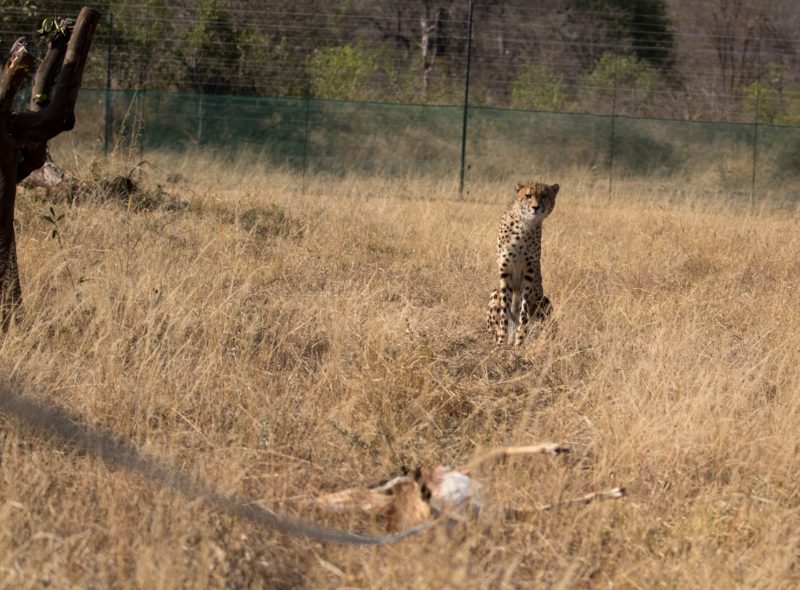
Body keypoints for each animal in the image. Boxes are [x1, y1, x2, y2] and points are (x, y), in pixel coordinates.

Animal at [487, 181, 559, 346]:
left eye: (544, 196)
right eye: (528, 195)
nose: (536, 207)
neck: (524, 224)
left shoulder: (529, 273)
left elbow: (523, 311)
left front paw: (519, 341)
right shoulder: (505, 271)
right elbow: (505, 311)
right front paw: (501, 341)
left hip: (544, 300)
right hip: (495, 292)